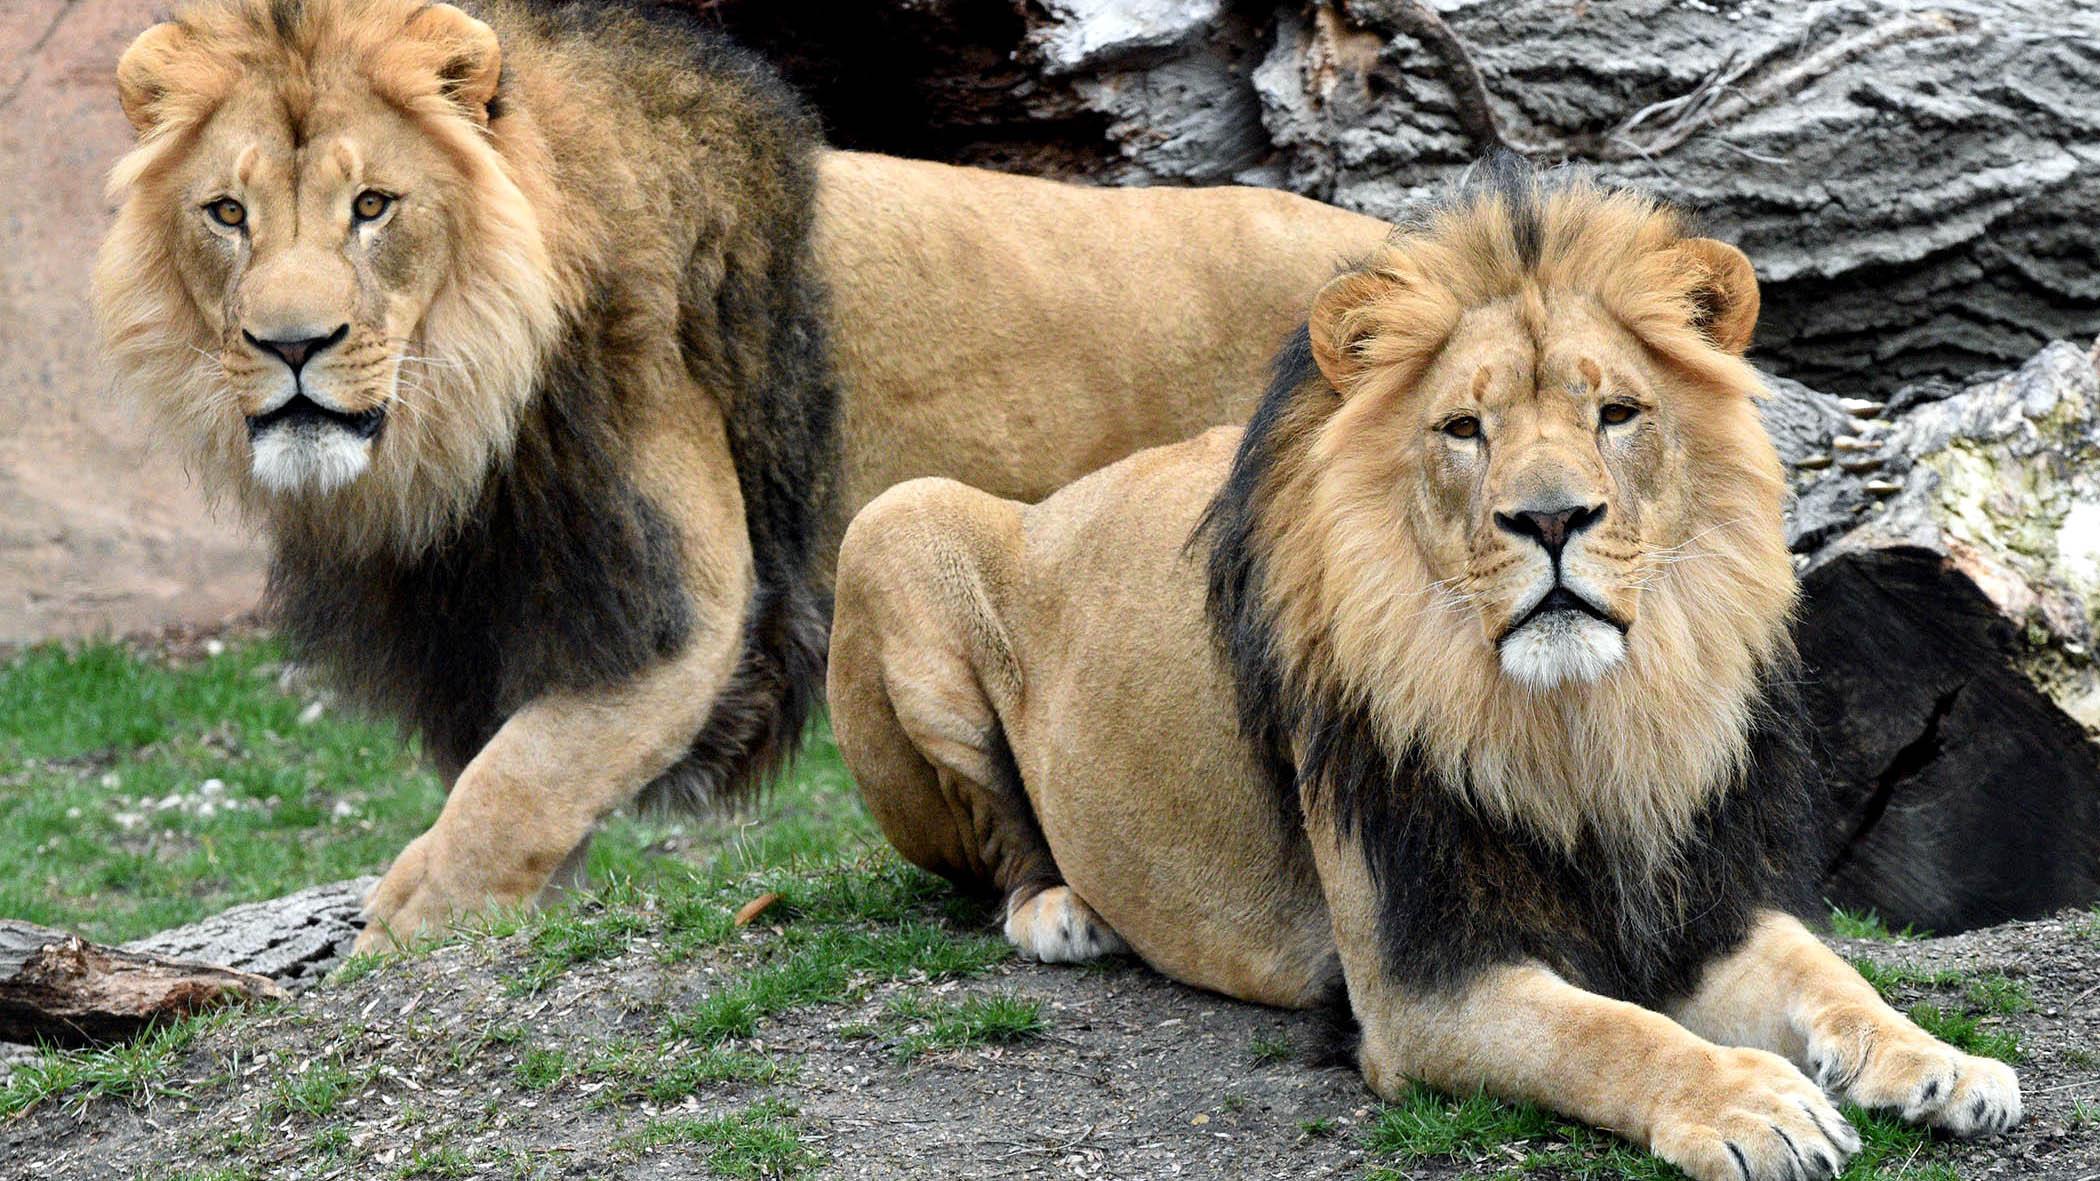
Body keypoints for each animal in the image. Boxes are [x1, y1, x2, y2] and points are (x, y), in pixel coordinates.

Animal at [90, 0, 1385, 941]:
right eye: (226, 214)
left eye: (373, 206)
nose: (290, 346)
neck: (454, 432)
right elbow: (523, 790)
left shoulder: (684, 609)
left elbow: (515, 784)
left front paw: (401, 926)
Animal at [827, 168, 2024, 1176]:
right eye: (1463, 428)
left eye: (1616, 412)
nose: (1552, 517)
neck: (1574, 724)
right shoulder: (1420, 983)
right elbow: (1611, 1033)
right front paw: (1750, 1103)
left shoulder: (1699, 896)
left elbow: (1835, 976)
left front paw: (1942, 1062)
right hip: (890, 522)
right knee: (993, 847)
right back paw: (1060, 910)